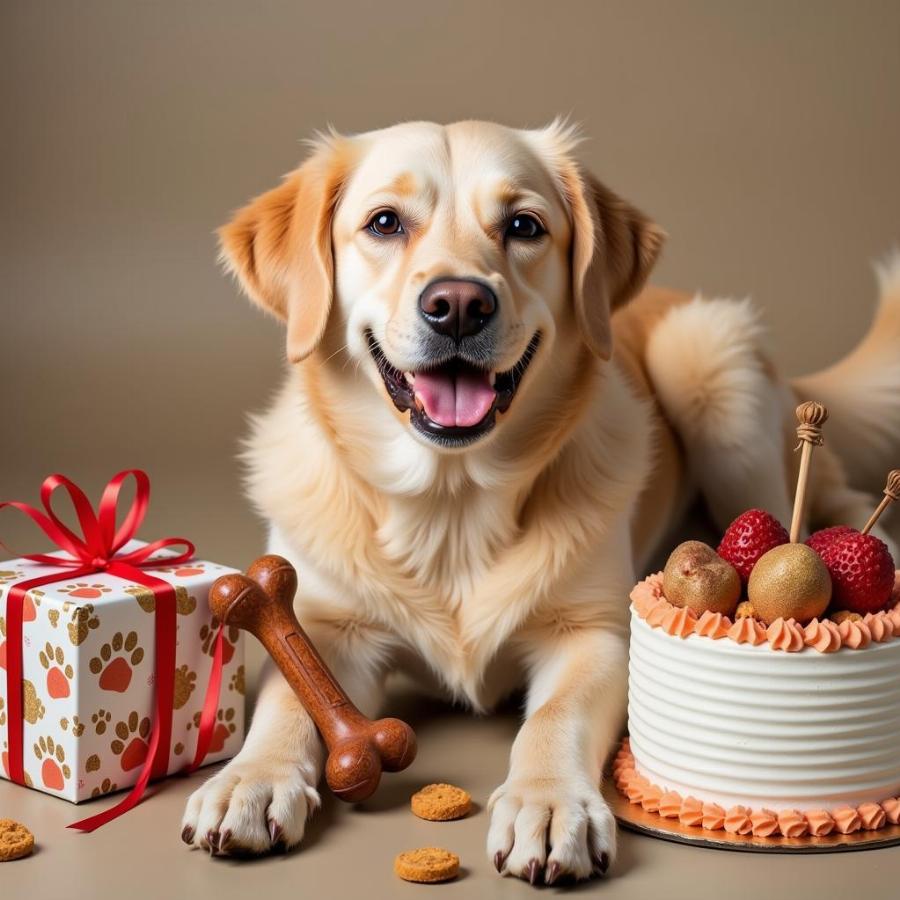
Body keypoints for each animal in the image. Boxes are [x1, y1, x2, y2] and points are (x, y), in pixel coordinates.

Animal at [181, 116, 900, 884]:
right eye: (384, 223)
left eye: (524, 225)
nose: (458, 306)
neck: (451, 501)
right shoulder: (320, 624)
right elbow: (293, 695)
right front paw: (251, 779)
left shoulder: (594, 635)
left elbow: (555, 717)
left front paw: (551, 804)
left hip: (711, 373)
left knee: (823, 503)